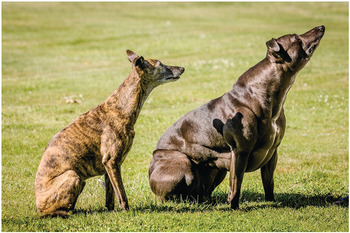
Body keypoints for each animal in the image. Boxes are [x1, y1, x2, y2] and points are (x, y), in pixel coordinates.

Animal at [34, 49, 185, 217]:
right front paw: (126, 211)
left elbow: (110, 196)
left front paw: (111, 211)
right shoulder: (111, 161)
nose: (182, 68)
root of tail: (39, 206)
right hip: (73, 175)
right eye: (160, 64)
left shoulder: (109, 165)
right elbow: (122, 194)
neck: (120, 108)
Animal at [148, 25, 326, 209]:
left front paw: (271, 202)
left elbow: (268, 183)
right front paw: (234, 208)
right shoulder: (240, 151)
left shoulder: (272, 153)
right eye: (297, 38)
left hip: (217, 170)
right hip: (183, 163)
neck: (262, 95)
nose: (321, 27)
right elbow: (236, 184)